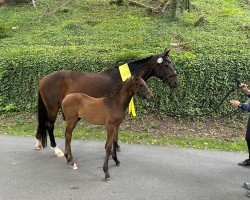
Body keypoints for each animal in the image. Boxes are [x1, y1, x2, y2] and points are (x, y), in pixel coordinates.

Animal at [35, 49, 180, 156]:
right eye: (167, 64)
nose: (176, 83)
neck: (121, 79)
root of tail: (43, 79)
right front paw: (114, 147)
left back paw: (39, 143)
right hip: (53, 108)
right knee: (49, 125)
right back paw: (56, 149)